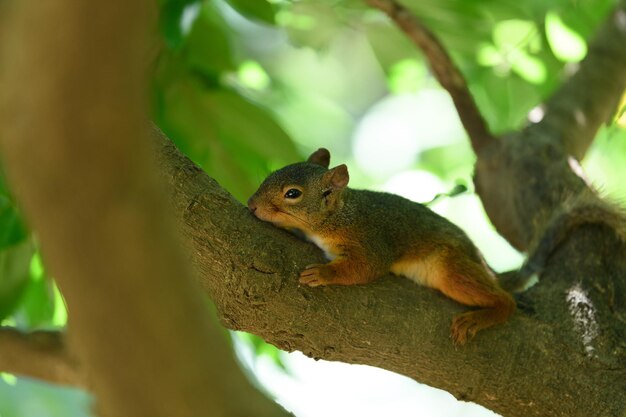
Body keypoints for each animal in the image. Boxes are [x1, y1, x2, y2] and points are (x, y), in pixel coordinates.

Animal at [246, 148, 516, 342]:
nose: (251, 205)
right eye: (271, 174)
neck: (339, 215)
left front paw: (323, 273)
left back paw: (483, 316)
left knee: (505, 301)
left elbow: (366, 267)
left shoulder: (370, 240)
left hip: (450, 268)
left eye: (293, 193)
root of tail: (482, 262)